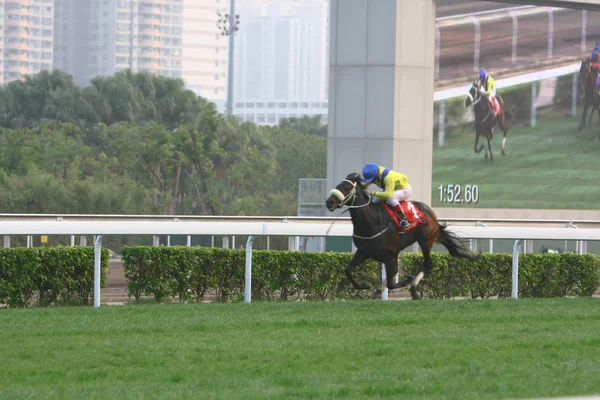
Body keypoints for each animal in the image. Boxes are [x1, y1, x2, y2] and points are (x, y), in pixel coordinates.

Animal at [326, 173, 480, 300]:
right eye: (338, 185)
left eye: (346, 187)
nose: (329, 202)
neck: (372, 221)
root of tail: (431, 213)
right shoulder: (364, 251)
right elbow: (347, 269)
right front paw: (364, 285)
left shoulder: (391, 255)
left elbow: (392, 282)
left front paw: (409, 280)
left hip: (425, 240)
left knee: (427, 264)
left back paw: (414, 288)